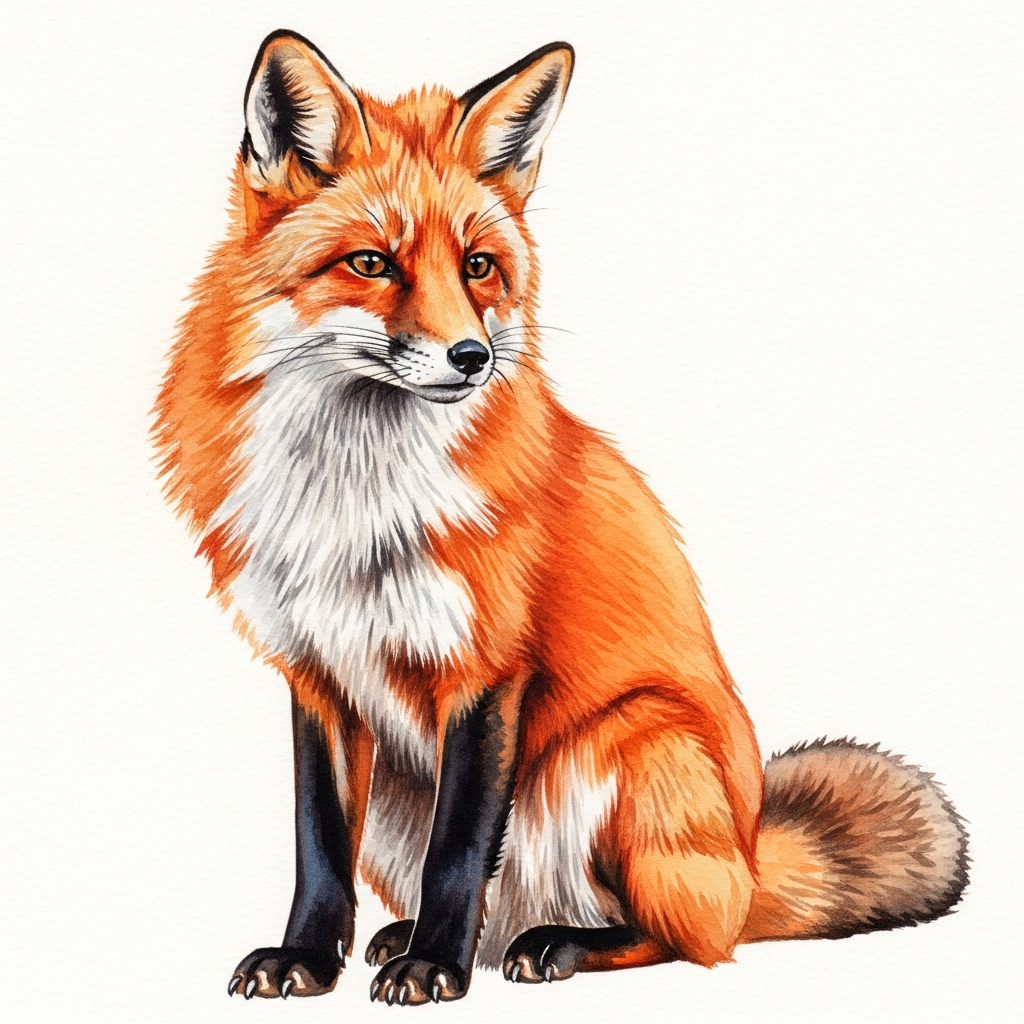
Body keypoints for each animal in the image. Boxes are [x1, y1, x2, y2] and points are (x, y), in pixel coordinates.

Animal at [154, 30, 969, 1006]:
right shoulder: (317, 674)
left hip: (632, 746)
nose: (472, 356)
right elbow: (318, 845)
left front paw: (436, 966)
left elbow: (460, 847)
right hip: (402, 797)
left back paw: (552, 944)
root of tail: (748, 849)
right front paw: (308, 960)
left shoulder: (489, 669)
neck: (351, 493)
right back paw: (408, 937)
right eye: (372, 263)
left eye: (477, 266)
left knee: (693, 937)